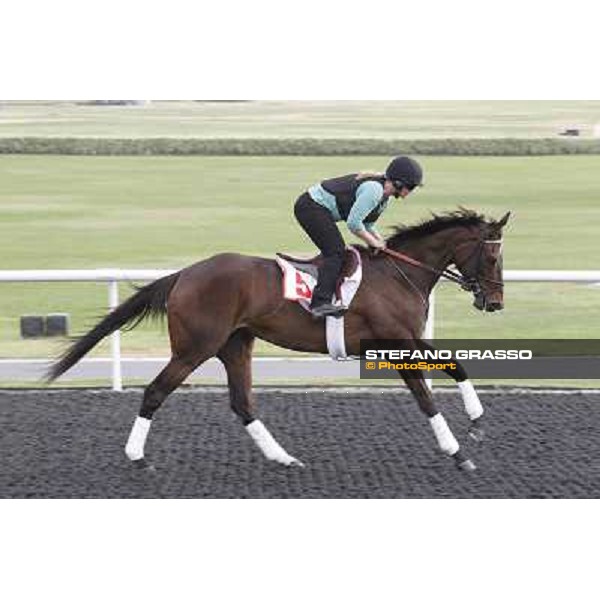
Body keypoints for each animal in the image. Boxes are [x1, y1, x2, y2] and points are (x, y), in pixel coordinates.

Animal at [45, 209, 510, 472]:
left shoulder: (404, 341)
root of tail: (184, 274)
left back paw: (282, 457)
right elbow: (427, 396)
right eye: (492, 256)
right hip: (195, 347)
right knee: (156, 391)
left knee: (242, 403)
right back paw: (138, 458)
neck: (398, 275)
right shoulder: (396, 341)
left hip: (235, 344)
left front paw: (476, 423)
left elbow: (455, 367)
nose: (495, 302)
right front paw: (459, 449)